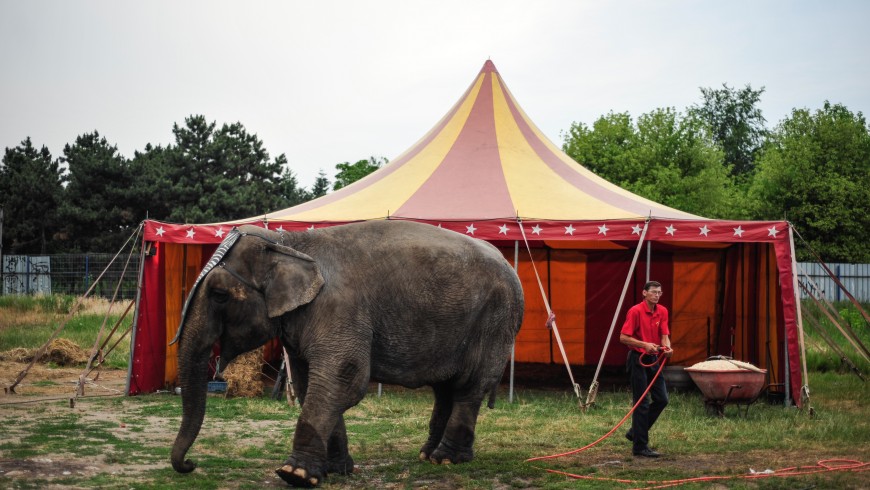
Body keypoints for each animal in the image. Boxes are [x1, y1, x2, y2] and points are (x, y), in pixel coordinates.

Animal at [170, 221, 524, 486]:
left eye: (219, 295)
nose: (190, 464)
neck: (290, 242)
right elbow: (309, 382)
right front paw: (334, 470)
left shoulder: (339, 308)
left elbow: (344, 376)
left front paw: (294, 474)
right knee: (445, 389)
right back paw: (428, 456)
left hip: (494, 323)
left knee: (468, 387)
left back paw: (446, 460)